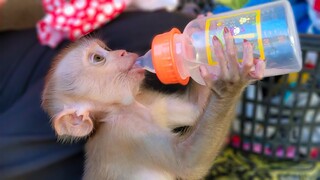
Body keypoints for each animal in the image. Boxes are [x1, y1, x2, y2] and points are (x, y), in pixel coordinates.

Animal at [41, 27, 264, 179]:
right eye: (97, 58)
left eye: (107, 49)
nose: (122, 52)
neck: (128, 108)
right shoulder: (126, 133)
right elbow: (187, 162)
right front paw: (230, 79)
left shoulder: (148, 99)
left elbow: (194, 109)